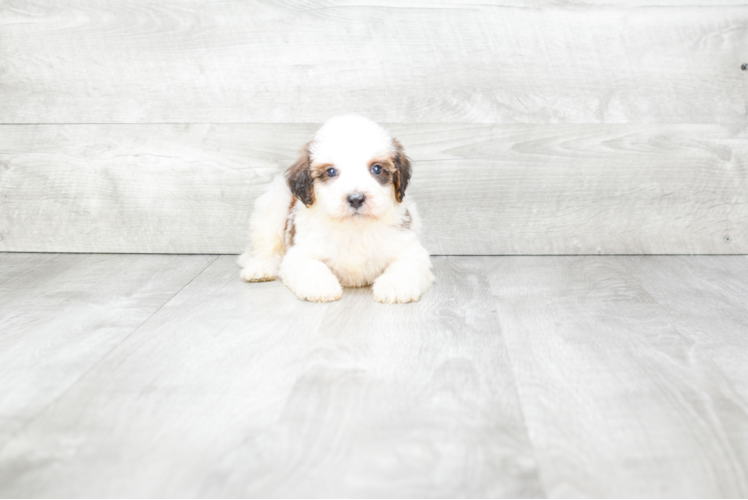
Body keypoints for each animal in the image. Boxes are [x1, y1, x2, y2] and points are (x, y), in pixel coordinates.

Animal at [237, 115, 436, 302]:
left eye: (377, 169)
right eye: (331, 171)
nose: (356, 199)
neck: (354, 227)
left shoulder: (409, 247)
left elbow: (405, 265)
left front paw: (395, 287)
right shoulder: (301, 251)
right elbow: (311, 265)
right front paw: (321, 286)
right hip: (272, 206)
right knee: (266, 247)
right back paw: (260, 268)